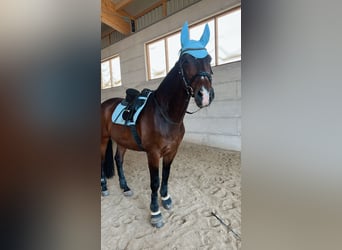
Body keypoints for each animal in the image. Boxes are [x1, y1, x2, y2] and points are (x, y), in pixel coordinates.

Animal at [100, 22, 215, 228]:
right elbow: (154, 181)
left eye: (209, 58)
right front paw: (155, 212)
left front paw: (166, 199)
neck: (166, 115)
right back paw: (104, 187)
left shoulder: (172, 151)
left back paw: (125, 187)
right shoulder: (152, 153)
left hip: (121, 141)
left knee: (118, 160)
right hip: (103, 139)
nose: (204, 95)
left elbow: (166, 175)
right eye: (185, 61)